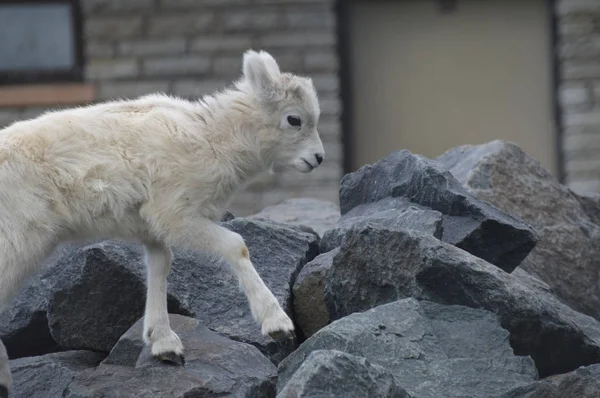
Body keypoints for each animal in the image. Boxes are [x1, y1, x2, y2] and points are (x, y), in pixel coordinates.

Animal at [0, 49, 326, 364]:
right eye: (294, 119)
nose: (318, 158)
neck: (212, 139)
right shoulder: (176, 217)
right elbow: (236, 245)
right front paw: (277, 325)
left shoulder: (154, 231)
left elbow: (160, 267)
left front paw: (164, 345)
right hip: (18, 241)